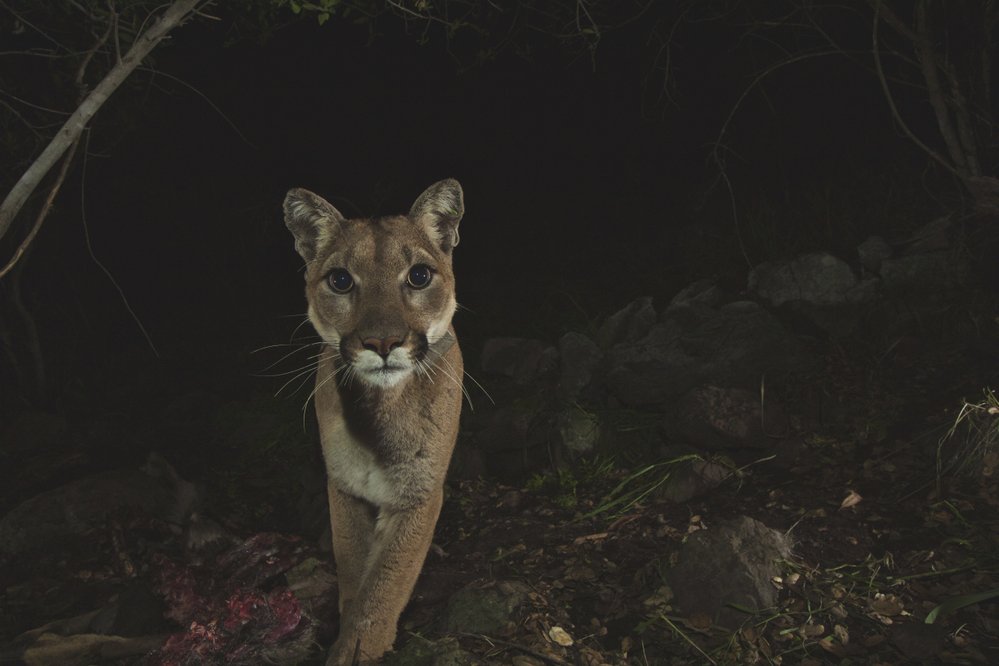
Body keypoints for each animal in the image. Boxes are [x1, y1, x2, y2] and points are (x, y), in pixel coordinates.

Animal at [284, 179, 466, 660]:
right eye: (340, 280)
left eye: (419, 276)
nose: (382, 343)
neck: (379, 411)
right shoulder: (344, 486)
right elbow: (355, 571)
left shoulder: (419, 491)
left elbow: (387, 580)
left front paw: (359, 646)